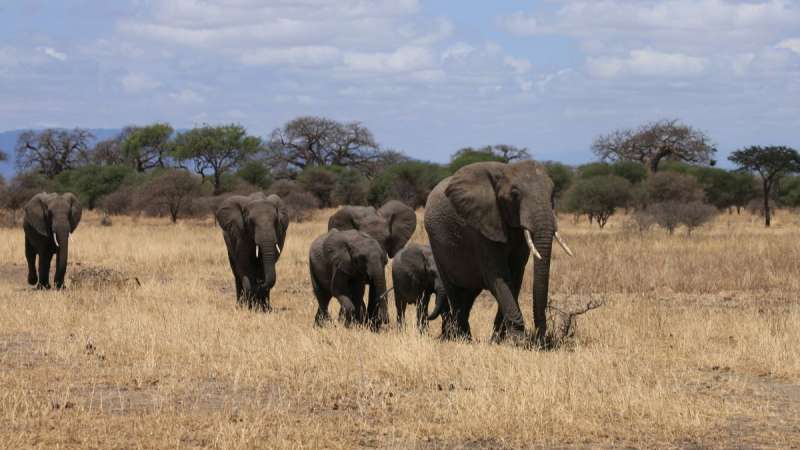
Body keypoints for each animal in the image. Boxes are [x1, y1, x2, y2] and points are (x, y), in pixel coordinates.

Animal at [423, 161, 573, 343]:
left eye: (553, 193)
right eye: (515, 194)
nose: (540, 337)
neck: (504, 171)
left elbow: (515, 277)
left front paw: (499, 340)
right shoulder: (482, 227)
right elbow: (498, 276)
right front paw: (518, 340)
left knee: (469, 294)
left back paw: (465, 336)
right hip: (437, 244)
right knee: (454, 291)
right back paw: (461, 338)